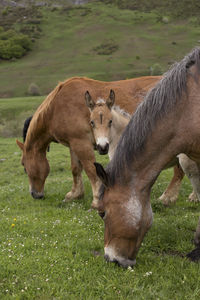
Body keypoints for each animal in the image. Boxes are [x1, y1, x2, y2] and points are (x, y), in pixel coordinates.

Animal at [15, 74, 160, 209]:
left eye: (24, 166)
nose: (35, 194)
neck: (56, 107)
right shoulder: (73, 144)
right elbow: (75, 169)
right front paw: (75, 194)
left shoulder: (82, 143)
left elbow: (90, 170)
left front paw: (96, 200)